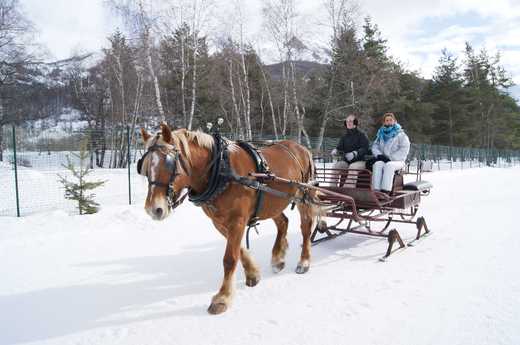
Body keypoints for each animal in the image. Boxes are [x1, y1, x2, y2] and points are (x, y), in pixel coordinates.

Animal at [138, 122, 320, 314]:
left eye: (169, 164)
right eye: (145, 166)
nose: (154, 209)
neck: (221, 170)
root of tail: (302, 148)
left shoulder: (237, 220)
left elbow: (229, 258)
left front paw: (223, 298)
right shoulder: (219, 222)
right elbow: (239, 250)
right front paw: (253, 274)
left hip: (304, 195)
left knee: (306, 227)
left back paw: (304, 261)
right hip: (273, 201)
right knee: (283, 223)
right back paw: (278, 259)